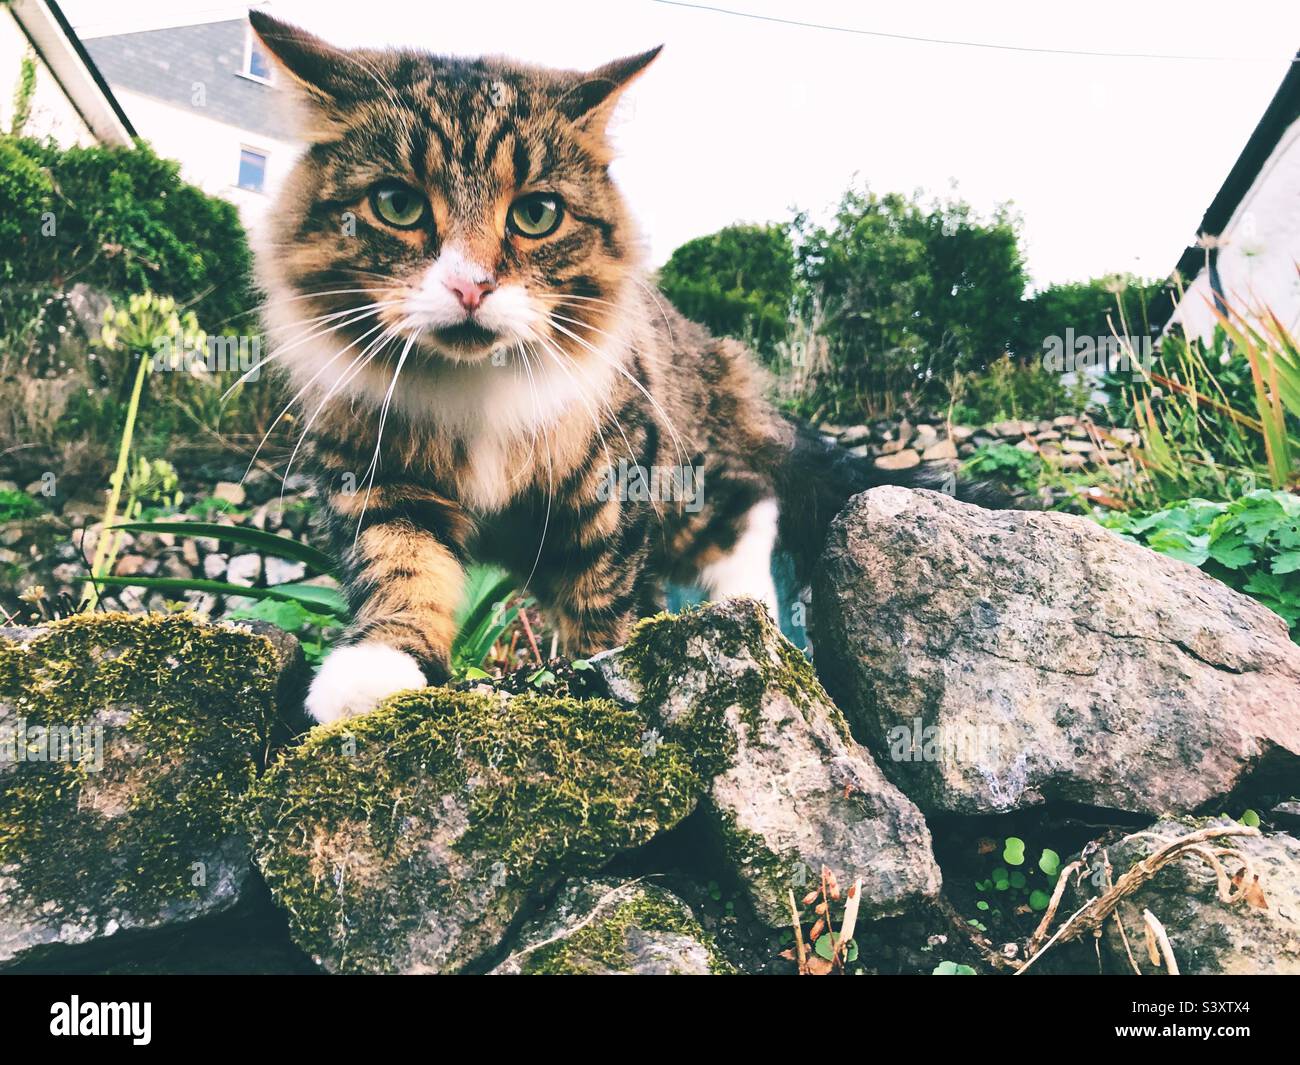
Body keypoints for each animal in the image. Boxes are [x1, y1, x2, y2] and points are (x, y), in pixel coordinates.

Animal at [248, 12, 982, 723]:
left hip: (692, 476)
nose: (470, 287)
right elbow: (401, 569)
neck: (474, 395)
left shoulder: (614, 484)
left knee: (749, 504)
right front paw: (373, 675)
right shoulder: (379, 480)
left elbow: (603, 599)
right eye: (396, 204)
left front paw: (602, 676)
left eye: (536, 214)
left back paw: (749, 616)